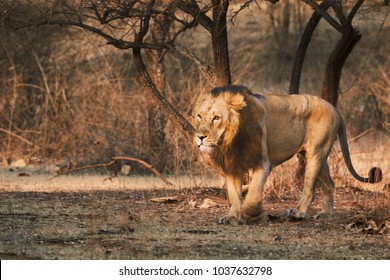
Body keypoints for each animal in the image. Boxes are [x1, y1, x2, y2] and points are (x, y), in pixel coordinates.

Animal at [193, 84, 382, 224]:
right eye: (199, 116)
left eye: (216, 118)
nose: (200, 137)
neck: (231, 140)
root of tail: (335, 108)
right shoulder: (233, 165)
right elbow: (233, 194)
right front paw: (232, 216)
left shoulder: (263, 163)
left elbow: (253, 194)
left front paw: (254, 214)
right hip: (315, 157)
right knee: (330, 184)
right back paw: (326, 213)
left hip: (316, 154)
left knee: (309, 189)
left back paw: (297, 213)